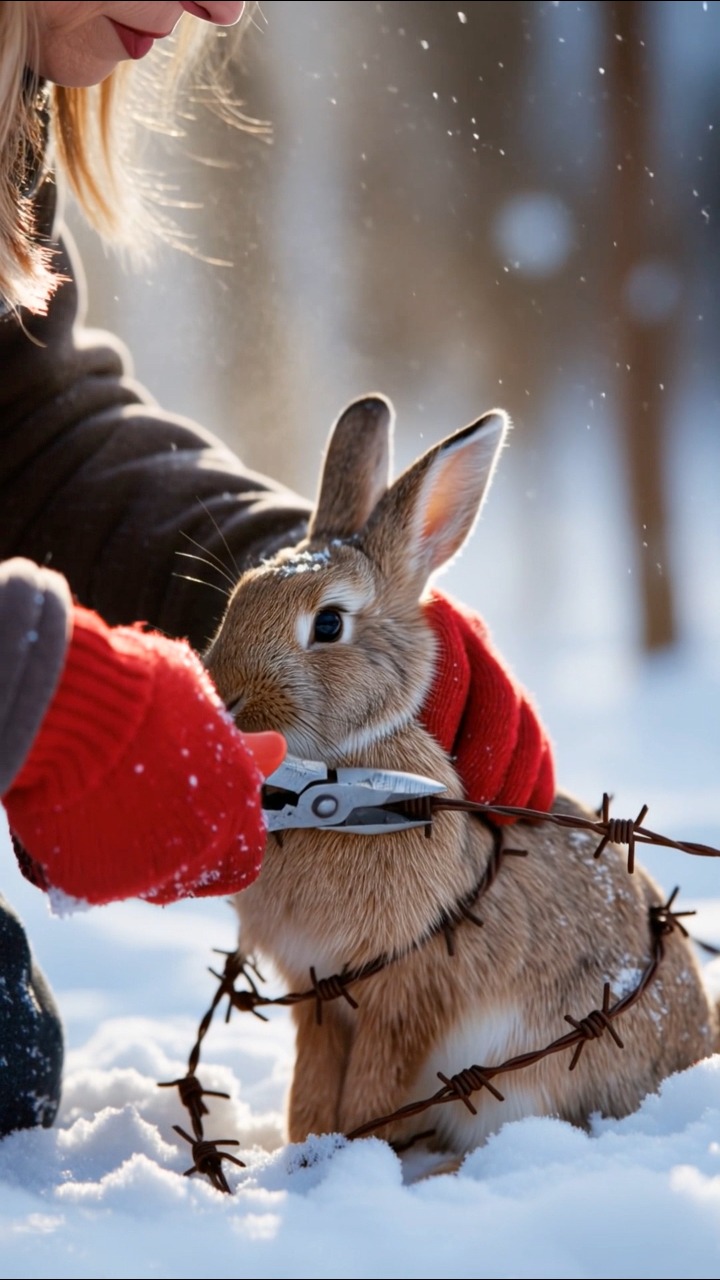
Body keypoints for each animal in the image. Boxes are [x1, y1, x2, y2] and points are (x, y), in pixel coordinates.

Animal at [203, 394, 718, 1157]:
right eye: (239, 597)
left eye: (327, 625)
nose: (226, 699)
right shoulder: (318, 998)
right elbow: (312, 1089)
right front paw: (303, 1155)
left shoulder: (405, 989)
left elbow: (372, 1087)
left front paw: (347, 1159)